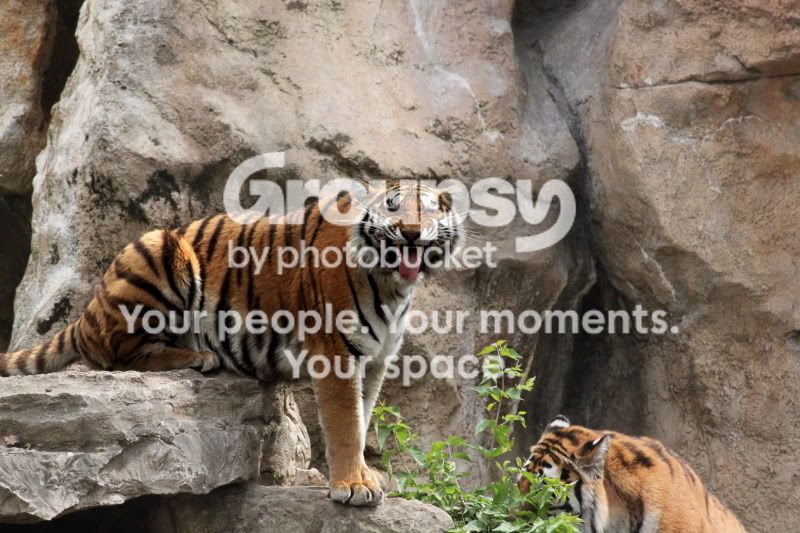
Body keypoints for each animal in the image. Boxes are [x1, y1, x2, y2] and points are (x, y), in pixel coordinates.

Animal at [0, 178, 463, 507]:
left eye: (427, 209)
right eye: (392, 206)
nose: (410, 232)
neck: (392, 285)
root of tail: (89, 309)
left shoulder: (376, 358)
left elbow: (362, 419)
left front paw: (364, 475)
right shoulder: (336, 351)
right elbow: (346, 424)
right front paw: (351, 485)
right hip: (159, 249)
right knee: (120, 354)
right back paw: (199, 355)